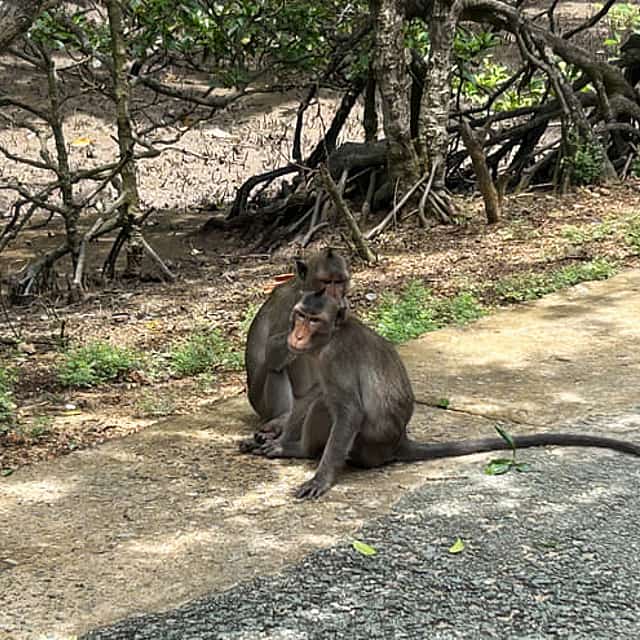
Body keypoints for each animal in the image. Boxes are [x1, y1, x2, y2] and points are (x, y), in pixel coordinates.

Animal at [243, 248, 350, 441]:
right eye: (326, 282)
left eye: (339, 282)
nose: (335, 295)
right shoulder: (289, 305)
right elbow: (272, 349)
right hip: (262, 403)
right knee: (274, 366)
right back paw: (281, 418)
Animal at [249, 290, 640, 499]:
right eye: (299, 315)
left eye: (313, 320)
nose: (296, 335)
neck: (330, 336)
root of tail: (399, 441)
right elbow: (309, 394)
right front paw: (279, 437)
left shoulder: (335, 357)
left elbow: (348, 411)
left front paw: (319, 476)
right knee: (319, 399)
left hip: (369, 447)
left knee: (330, 408)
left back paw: (303, 451)